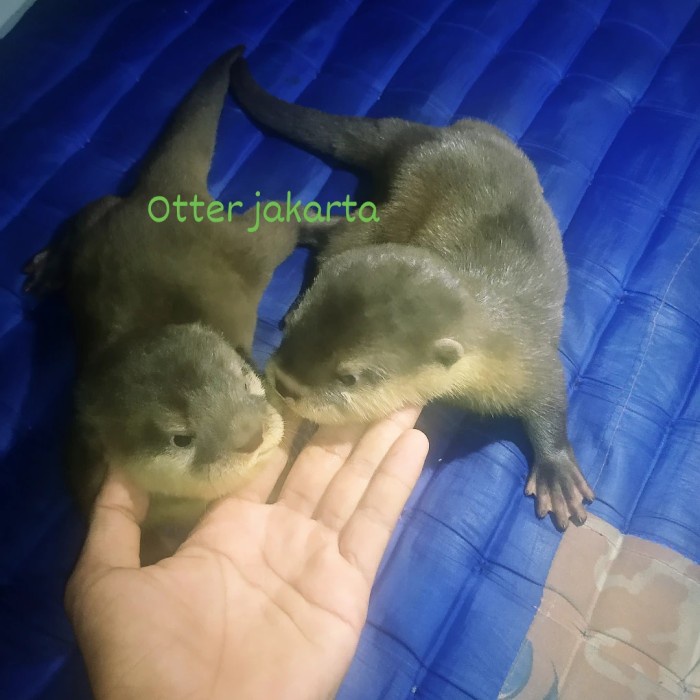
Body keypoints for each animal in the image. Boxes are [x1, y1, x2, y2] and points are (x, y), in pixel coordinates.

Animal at [23, 48, 298, 554]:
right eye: (180, 438)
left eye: (244, 378)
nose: (250, 435)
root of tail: (160, 196)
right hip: (112, 230)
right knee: (94, 208)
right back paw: (49, 265)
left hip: (240, 248)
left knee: (285, 214)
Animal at [228, 50, 595, 531]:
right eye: (294, 334)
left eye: (350, 376)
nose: (285, 384)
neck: (487, 335)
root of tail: (435, 138)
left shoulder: (526, 356)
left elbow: (551, 393)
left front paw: (557, 468)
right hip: (402, 202)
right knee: (344, 235)